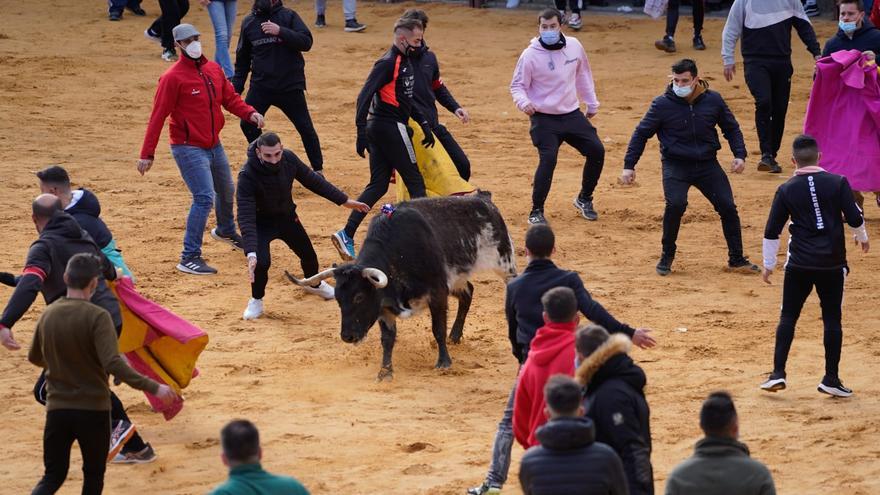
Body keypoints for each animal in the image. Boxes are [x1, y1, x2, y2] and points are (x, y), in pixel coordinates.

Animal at [288, 194, 516, 380]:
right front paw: (385, 372)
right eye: (338, 299)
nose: (347, 337)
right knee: (468, 293)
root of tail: (484, 199)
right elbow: (387, 339)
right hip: (456, 278)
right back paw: (455, 336)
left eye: (359, 297)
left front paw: (443, 363)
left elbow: (438, 329)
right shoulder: (384, 306)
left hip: (504, 263)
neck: (398, 254)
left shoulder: (437, 292)